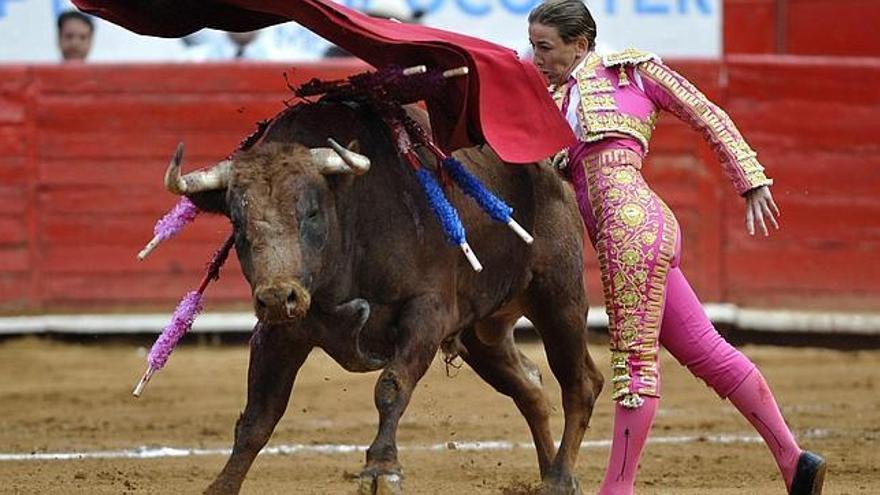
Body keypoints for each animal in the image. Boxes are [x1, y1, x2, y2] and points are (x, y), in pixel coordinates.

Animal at [166, 98, 604, 495]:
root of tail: (552, 170)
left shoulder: (426, 311)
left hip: (559, 299)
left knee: (581, 383)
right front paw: (221, 486)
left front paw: (381, 470)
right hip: (483, 335)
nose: (277, 297)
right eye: (237, 222)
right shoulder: (279, 332)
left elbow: (391, 387)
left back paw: (560, 478)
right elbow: (259, 414)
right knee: (530, 388)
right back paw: (552, 474)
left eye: (311, 212)